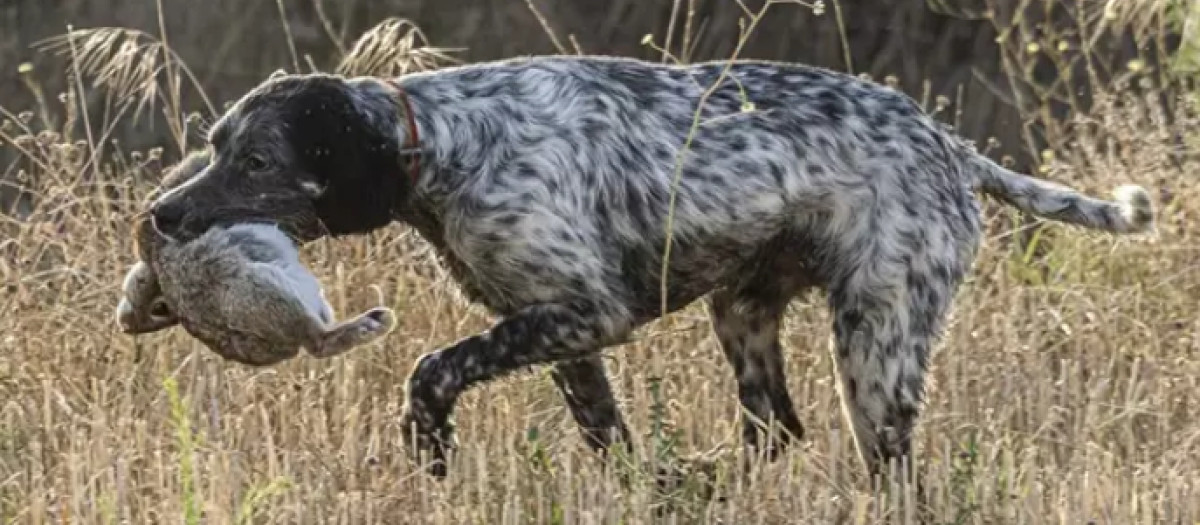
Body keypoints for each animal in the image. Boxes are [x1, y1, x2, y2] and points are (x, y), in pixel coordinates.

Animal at [142, 54, 1152, 479]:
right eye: (215, 144)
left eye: (256, 160)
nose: (163, 215)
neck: (451, 144)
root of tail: (949, 144)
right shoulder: (559, 331)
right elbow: (607, 437)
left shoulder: (588, 312)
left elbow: (431, 368)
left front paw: (429, 449)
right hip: (745, 316)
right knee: (775, 432)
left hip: (876, 340)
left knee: (887, 463)